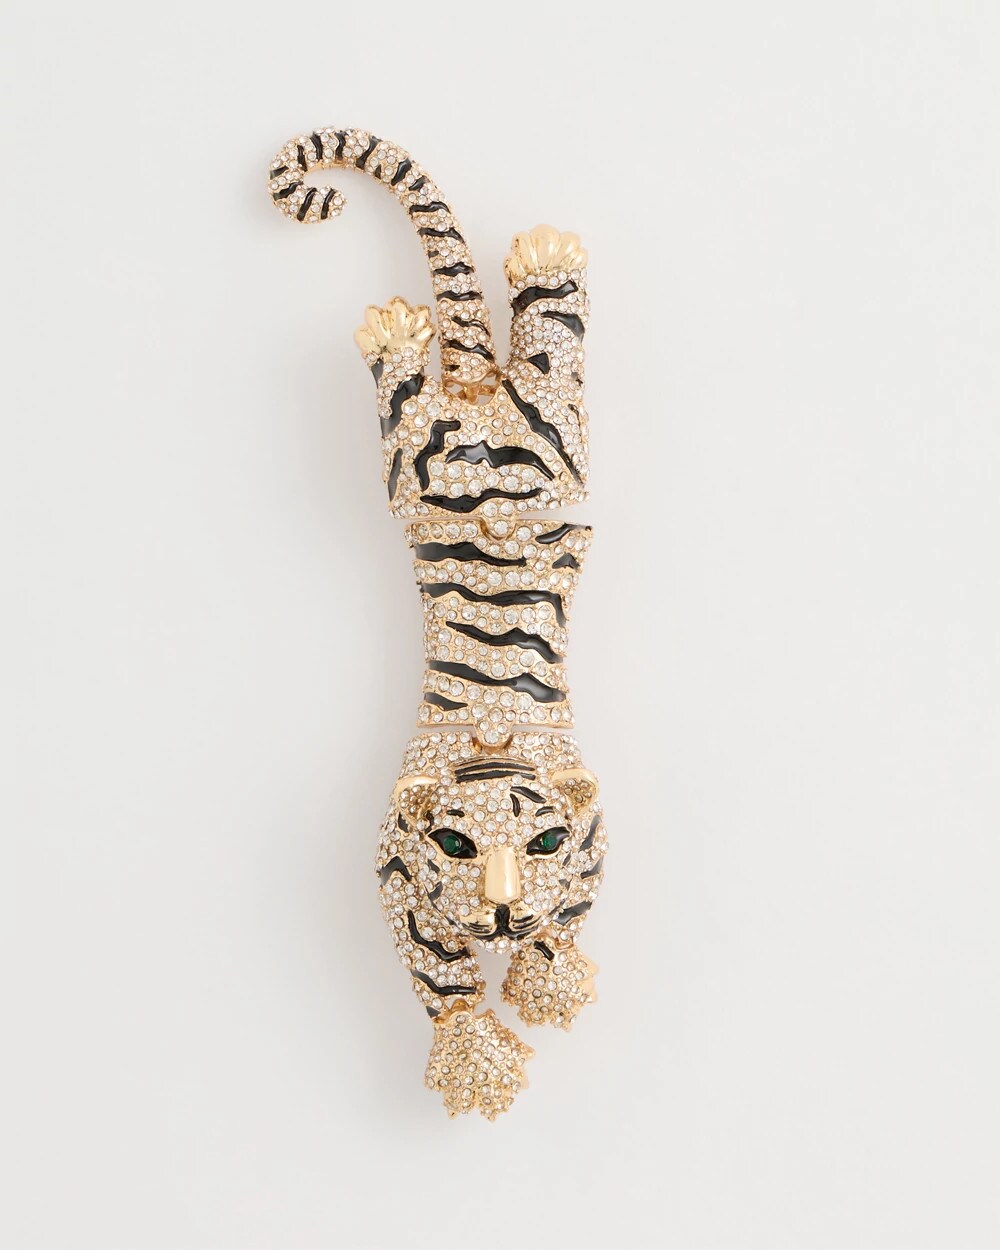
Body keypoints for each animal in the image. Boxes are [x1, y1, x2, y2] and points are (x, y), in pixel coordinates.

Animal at [268, 127, 606, 1118]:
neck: (493, 750)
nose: (497, 905)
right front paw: (477, 1057)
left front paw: (546, 979)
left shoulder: (593, 841)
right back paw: (400, 329)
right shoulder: (394, 880)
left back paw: (543, 258)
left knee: (552, 354)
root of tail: (477, 393)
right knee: (409, 400)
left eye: (540, 840)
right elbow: (440, 979)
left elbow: (567, 915)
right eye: (455, 842)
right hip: (414, 467)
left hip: (557, 443)